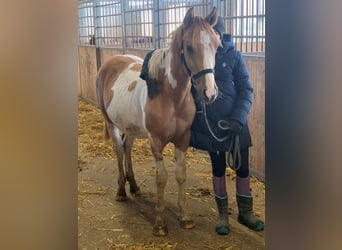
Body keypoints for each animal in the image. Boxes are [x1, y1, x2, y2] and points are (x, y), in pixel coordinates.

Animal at [95, 6, 219, 235]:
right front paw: (160, 223)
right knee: (119, 150)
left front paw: (185, 217)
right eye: (189, 47)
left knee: (127, 147)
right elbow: (161, 179)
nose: (209, 93)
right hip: (111, 123)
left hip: (131, 128)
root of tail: (109, 63)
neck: (171, 96)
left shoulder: (183, 139)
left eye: (217, 44)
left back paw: (134, 186)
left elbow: (180, 174)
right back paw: (121, 190)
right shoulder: (156, 142)